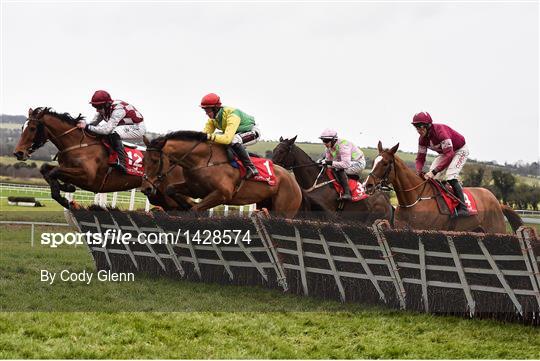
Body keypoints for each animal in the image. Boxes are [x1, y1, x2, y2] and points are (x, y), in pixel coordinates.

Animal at [12, 105, 194, 210]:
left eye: (33, 128)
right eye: (22, 127)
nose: (18, 152)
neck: (78, 144)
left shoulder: (88, 177)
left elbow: (54, 172)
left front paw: (64, 197)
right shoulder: (68, 168)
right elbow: (46, 169)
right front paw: (67, 187)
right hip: (160, 197)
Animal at [146, 130, 302, 217]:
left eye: (155, 160)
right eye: (144, 160)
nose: (147, 188)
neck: (204, 161)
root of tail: (294, 181)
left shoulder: (222, 194)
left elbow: (195, 209)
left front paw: (190, 206)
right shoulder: (195, 189)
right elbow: (170, 189)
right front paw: (186, 203)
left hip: (284, 210)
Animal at [362, 139, 524, 232]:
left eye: (385, 163)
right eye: (373, 161)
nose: (367, 185)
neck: (414, 200)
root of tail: (497, 202)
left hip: (496, 230)